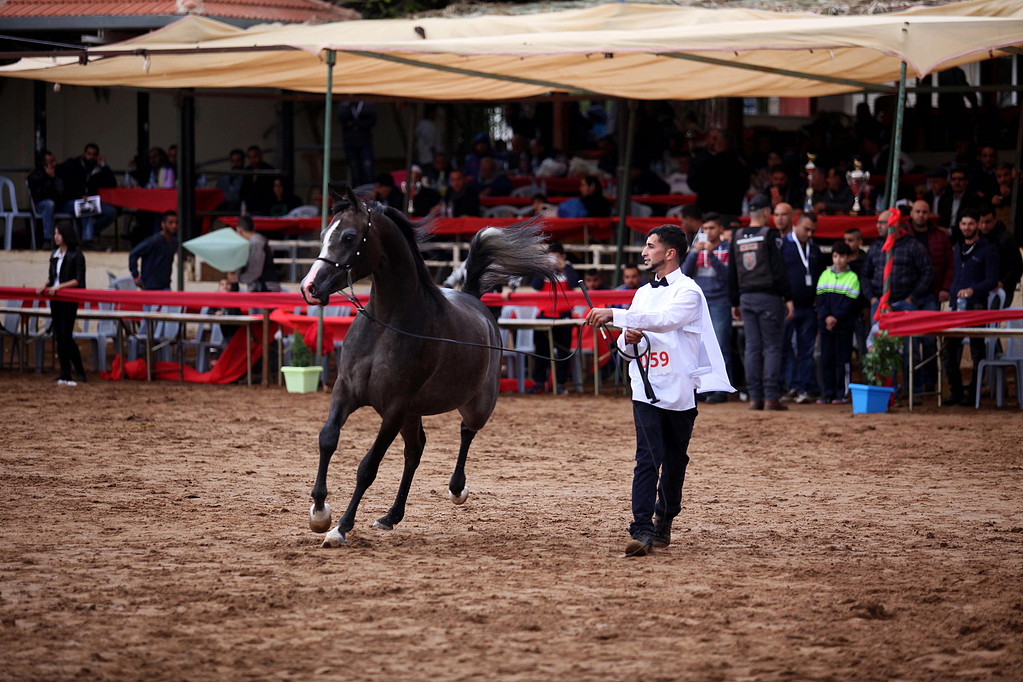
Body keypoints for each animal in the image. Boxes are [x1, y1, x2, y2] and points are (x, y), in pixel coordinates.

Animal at [300, 184, 560, 548]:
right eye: (325, 234)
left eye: (349, 237)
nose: (310, 288)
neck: (387, 324)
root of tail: (475, 300)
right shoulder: (346, 392)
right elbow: (327, 438)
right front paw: (319, 513)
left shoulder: (393, 409)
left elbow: (368, 467)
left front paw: (340, 528)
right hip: (413, 413)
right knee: (415, 451)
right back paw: (391, 516)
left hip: (476, 404)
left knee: (466, 432)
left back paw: (457, 489)